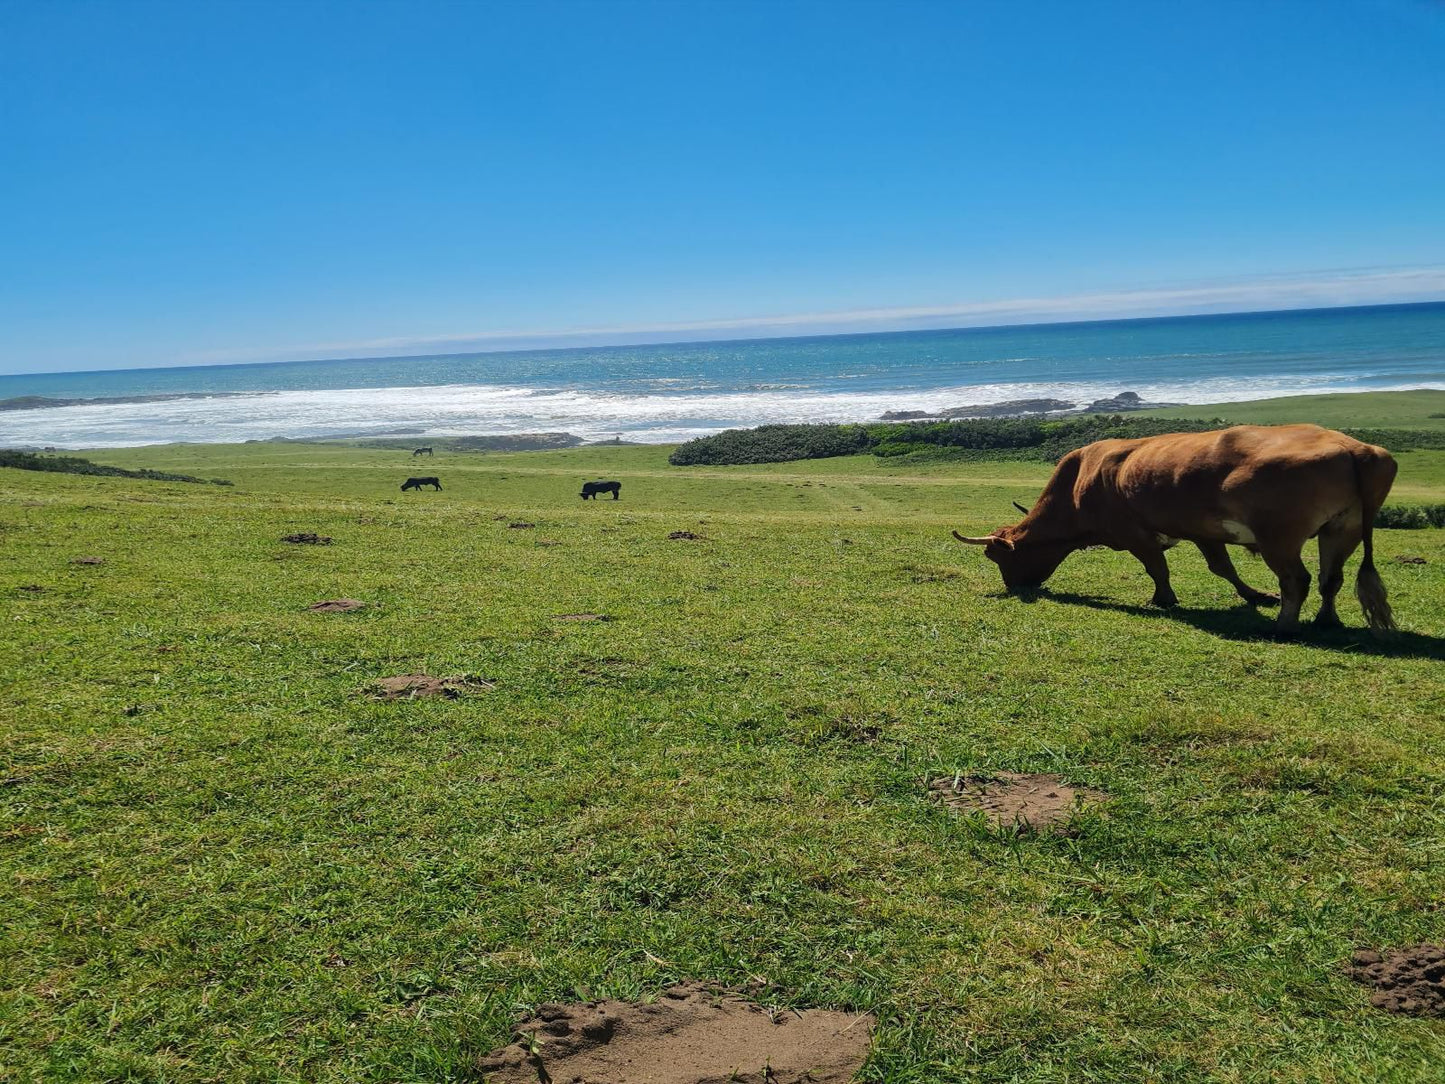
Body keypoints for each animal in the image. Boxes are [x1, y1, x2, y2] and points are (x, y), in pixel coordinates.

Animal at [953, 419, 1392, 633]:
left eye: (999, 558)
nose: (1014, 587)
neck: (1079, 485)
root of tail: (1353, 446)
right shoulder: (1203, 533)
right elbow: (1222, 568)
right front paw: (1253, 595)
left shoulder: (1135, 534)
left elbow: (1156, 567)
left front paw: (1163, 598)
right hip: (1342, 530)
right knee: (1330, 578)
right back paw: (1325, 620)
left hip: (1279, 538)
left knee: (1297, 579)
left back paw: (1286, 626)